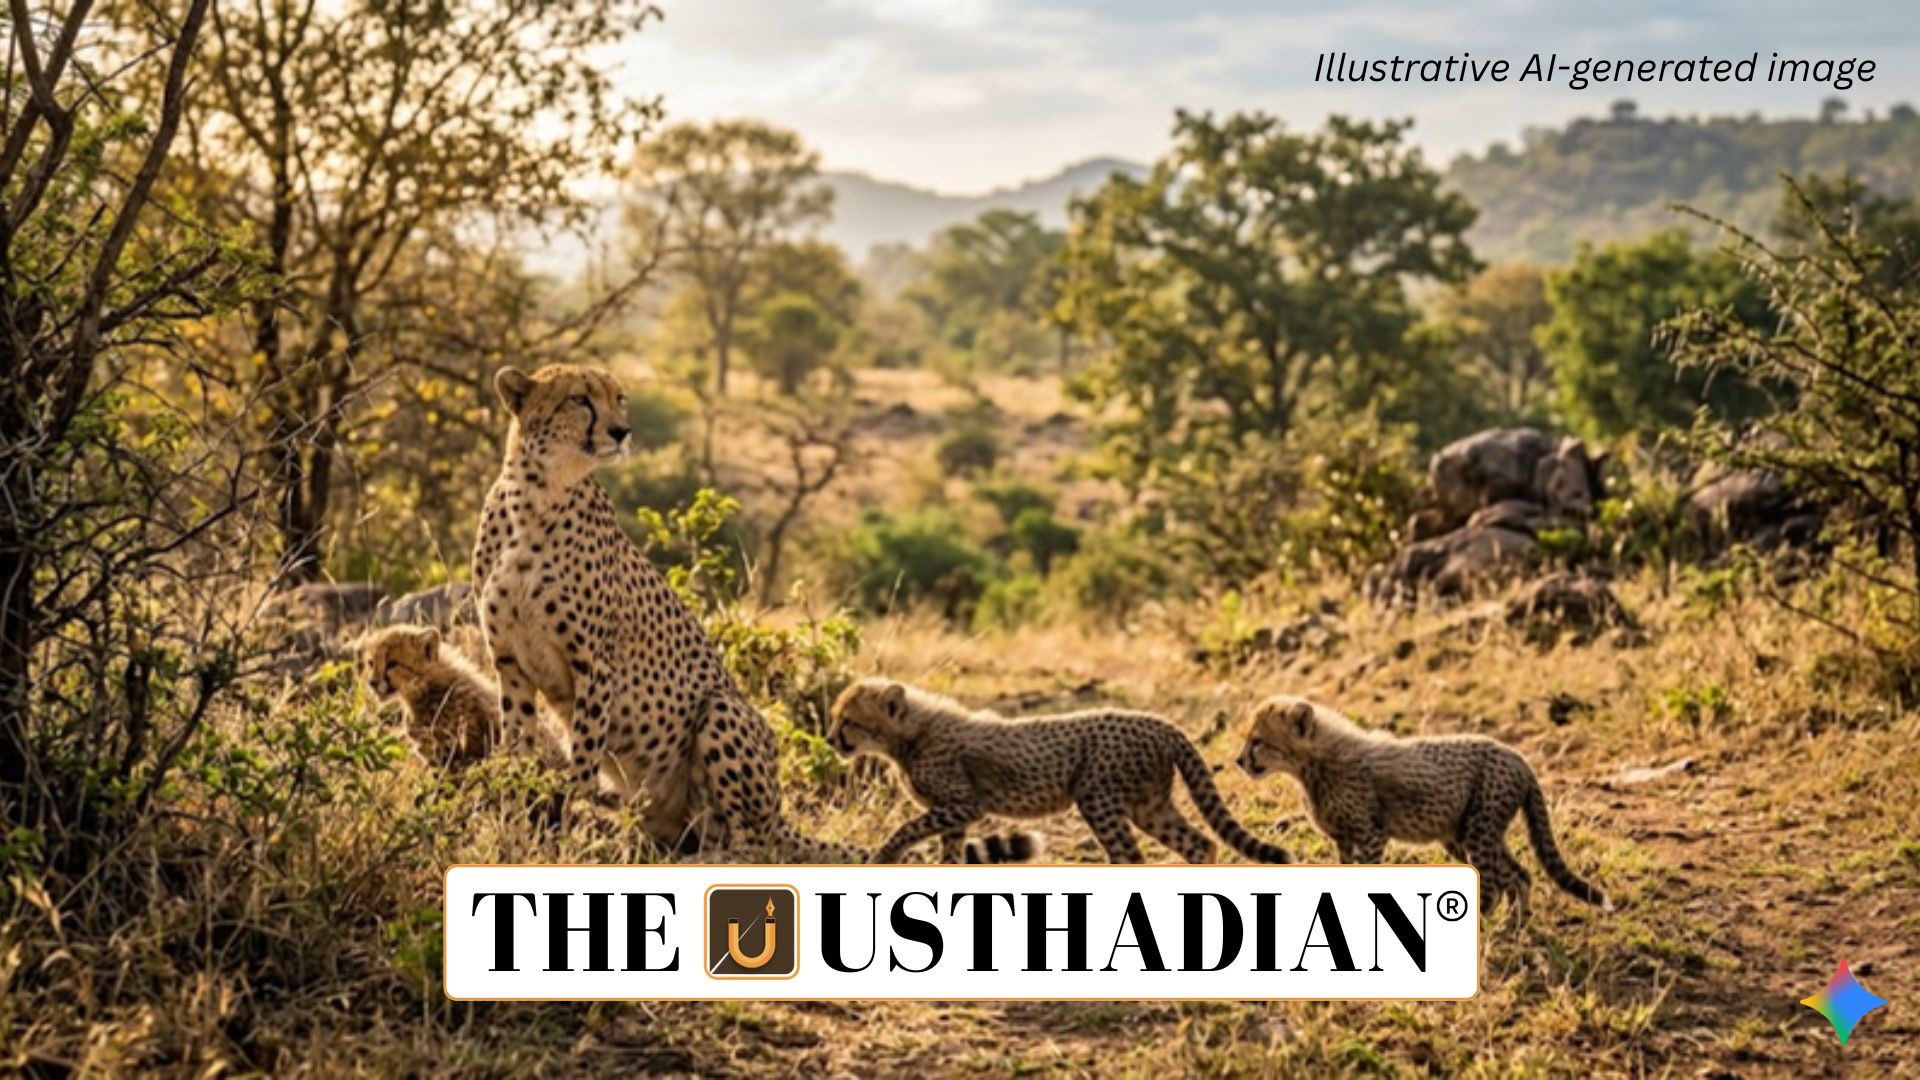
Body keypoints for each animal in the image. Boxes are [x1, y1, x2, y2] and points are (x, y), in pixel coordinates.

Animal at [471, 363, 856, 861]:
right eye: (580, 399)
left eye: (620, 398)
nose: (622, 431)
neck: (536, 494)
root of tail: (779, 816)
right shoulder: (510, 662)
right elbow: (515, 748)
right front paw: (509, 827)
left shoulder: (595, 667)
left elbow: (583, 763)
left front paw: (568, 838)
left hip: (721, 710)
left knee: (754, 845)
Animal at [829, 677, 1291, 866]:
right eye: (835, 718)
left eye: (848, 720)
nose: (831, 738)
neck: (908, 734)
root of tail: (1160, 722)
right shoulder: (955, 814)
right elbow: (948, 853)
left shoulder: (965, 804)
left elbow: (906, 828)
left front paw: (885, 855)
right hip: (1149, 804)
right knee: (1199, 844)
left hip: (1098, 796)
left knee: (1130, 856)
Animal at [1236, 694, 1607, 923]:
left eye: (1258, 742)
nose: (1239, 761)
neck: (1313, 764)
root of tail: (1518, 757)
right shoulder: (1344, 839)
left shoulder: (1371, 835)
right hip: (1467, 836)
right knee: (1519, 875)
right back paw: (1516, 925)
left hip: (1479, 832)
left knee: (1492, 885)